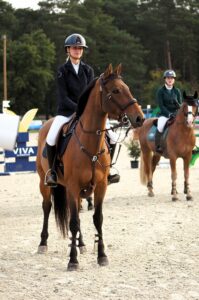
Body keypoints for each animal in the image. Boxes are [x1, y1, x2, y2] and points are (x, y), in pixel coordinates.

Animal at [36, 63, 145, 270]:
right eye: (116, 91)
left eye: (127, 88)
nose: (139, 119)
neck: (90, 142)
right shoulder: (72, 186)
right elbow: (72, 222)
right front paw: (72, 260)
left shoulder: (100, 186)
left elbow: (97, 219)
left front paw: (101, 255)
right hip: (45, 182)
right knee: (47, 207)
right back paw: (43, 244)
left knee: (77, 211)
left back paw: (81, 244)